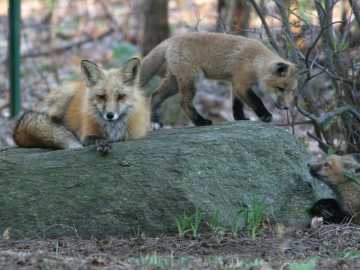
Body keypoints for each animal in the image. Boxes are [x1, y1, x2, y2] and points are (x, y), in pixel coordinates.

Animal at [13, 57, 150, 150]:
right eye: (101, 97)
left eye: (121, 96)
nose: (110, 115)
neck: (113, 129)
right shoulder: (86, 135)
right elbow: (96, 138)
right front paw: (103, 143)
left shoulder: (136, 136)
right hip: (63, 98)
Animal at [140, 32, 298, 126]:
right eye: (280, 88)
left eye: (291, 91)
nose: (286, 107)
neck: (254, 60)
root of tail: (172, 38)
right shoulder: (241, 84)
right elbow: (256, 101)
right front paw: (265, 116)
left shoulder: (235, 84)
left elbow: (236, 105)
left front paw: (241, 119)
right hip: (193, 80)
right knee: (183, 103)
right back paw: (201, 122)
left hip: (174, 83)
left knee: (155, 96)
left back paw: (154, 122)